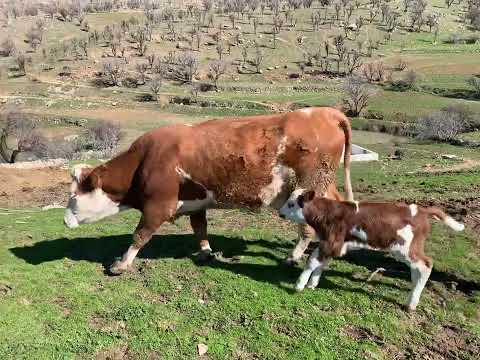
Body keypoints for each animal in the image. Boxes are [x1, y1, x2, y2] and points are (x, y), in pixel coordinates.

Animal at [63, 107, 354, 276]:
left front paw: (121, 264)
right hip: (326, 185)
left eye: (73, 196)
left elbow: (140, 235)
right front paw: (205, 252)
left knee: (307, 228)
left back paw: (292, 258)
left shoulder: (158, 206)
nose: (64, 220)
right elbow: (199, 228)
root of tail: (326, 112)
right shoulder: (196, 202)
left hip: (308, 188)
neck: (145, 160)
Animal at [278, 190, 464, 310]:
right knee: (417, 269)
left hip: (406, 248)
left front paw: (299, 285)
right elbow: (321, 263)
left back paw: (411, 303)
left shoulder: (331, 241)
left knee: (426, 265)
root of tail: (422, 210)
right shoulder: (333, 244)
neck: (328, 213)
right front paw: (312, 284)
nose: (280, 213)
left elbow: (312, 261)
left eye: (291, 204)